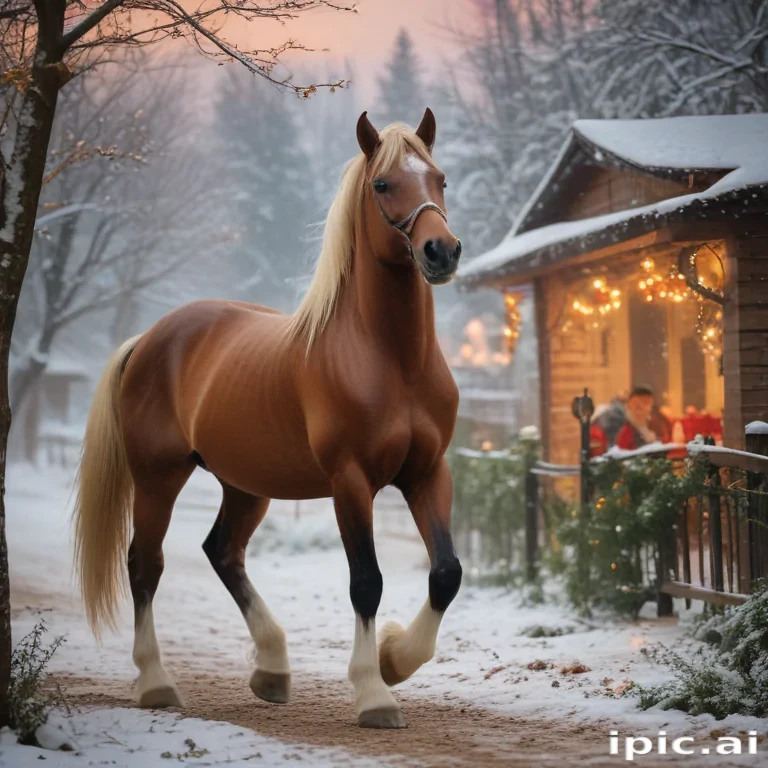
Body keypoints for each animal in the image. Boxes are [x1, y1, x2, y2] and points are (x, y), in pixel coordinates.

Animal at [73, 108, 463, 729]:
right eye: (382, 184)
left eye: (440, 178)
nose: (440, 252)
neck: (390, 358)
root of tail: (150, 338)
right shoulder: (350, 482)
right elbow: (366, 581)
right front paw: (373, 692)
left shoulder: (428, 472)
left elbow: (446, 573)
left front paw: (395, 659)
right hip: (158, 477)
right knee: (144, 565)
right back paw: (157, 683)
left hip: (245, 485)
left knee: (223, 552)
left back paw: (273, 669)